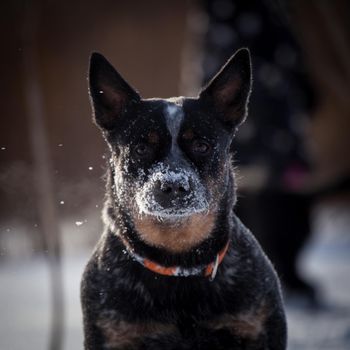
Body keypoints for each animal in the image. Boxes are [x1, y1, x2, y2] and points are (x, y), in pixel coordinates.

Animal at [82, 47, 288, 350]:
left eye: (202, 145)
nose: (173, 185)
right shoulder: (111, 335)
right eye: (141, 148)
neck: (178, 262)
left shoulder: (259, 328)